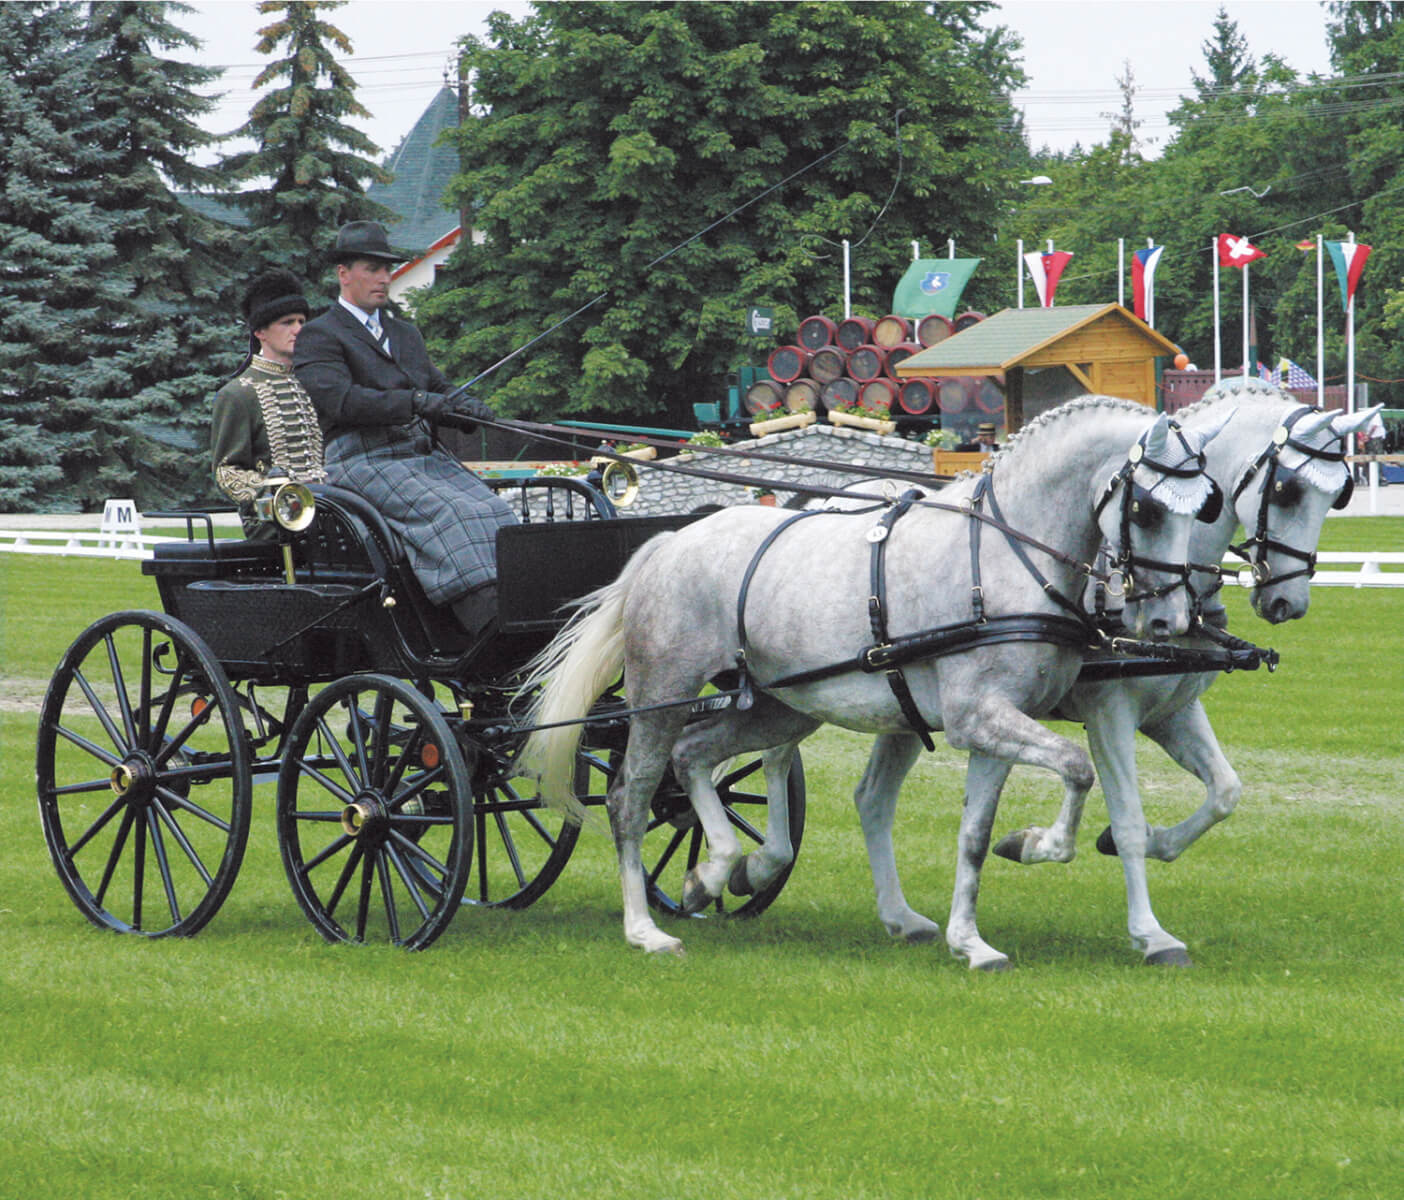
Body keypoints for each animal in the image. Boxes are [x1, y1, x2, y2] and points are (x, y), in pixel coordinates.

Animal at [522, 398, 1224, 971]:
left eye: (1207, 505)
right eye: (1146, 507)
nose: (1169, 620)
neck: (1006, 557)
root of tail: (669, 541)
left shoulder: (996, 722)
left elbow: (975, 835)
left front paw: (972, 941)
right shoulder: (982, 717)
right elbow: (1078, 770)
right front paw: (1036, 845)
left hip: (781, 705)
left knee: (696, 756)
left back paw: (717, 870)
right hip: (659, 694)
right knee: (632, 796)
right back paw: (645, 929)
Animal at [853, 381, 1381, 965]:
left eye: (1339, 495)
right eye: (1287, 490)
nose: (1289, 601)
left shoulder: (1173, 711)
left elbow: (1225, 791)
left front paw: (1152, 842)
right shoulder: (1111, 713)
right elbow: (1127, 817)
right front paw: (1150, 932)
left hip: (901, 710)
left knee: (873, 798)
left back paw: (901, 919)